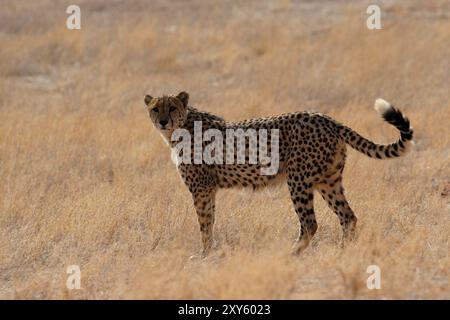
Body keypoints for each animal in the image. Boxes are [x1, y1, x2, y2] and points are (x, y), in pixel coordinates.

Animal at [145, 91, 414, 256]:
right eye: (156, 108)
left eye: (172, 107)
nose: (163, 121)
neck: (181, 127)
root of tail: (327, 119)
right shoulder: (208, 190)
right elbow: (209, 221)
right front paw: (208, 252)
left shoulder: (201, 189)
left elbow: (204, 223)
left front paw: (204, 254)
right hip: (328, 181)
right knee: (348, 217)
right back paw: (342, 251)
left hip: (298, 180)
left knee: (310, 223)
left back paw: (292, 253)